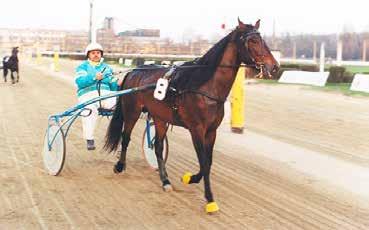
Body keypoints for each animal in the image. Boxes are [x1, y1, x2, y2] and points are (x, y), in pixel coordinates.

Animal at [103, 18, 276, 214]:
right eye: (252, 41)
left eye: (262, 40)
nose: (274, 67)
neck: (205, 86)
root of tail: (134, 71)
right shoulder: (196, 129)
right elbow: (204, 162)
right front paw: (210, 199)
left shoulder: (211, 131)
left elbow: (208, 161)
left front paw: (190, 178)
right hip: (132, 111)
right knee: (125, 137)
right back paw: (119, 166)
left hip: (160, 118)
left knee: (158, 147)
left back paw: (165, 181)